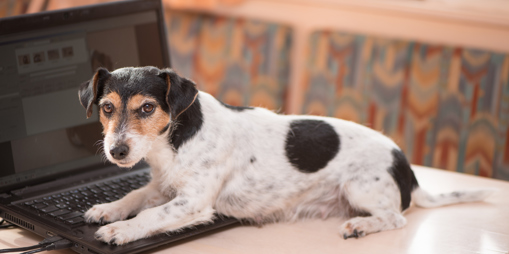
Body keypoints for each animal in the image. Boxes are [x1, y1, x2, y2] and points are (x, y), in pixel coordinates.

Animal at [78, 66, 492, 245]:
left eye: (147, 108)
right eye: (107, 108)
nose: (117, 151)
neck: (174, 142)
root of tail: (405, 164)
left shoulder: (192, 202)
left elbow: (149, 216)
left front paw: (120, 229)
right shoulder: (162, 187)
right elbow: (135, 196)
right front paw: (108, 209)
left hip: (361, 187)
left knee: (396, 218)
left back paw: (361, 226)